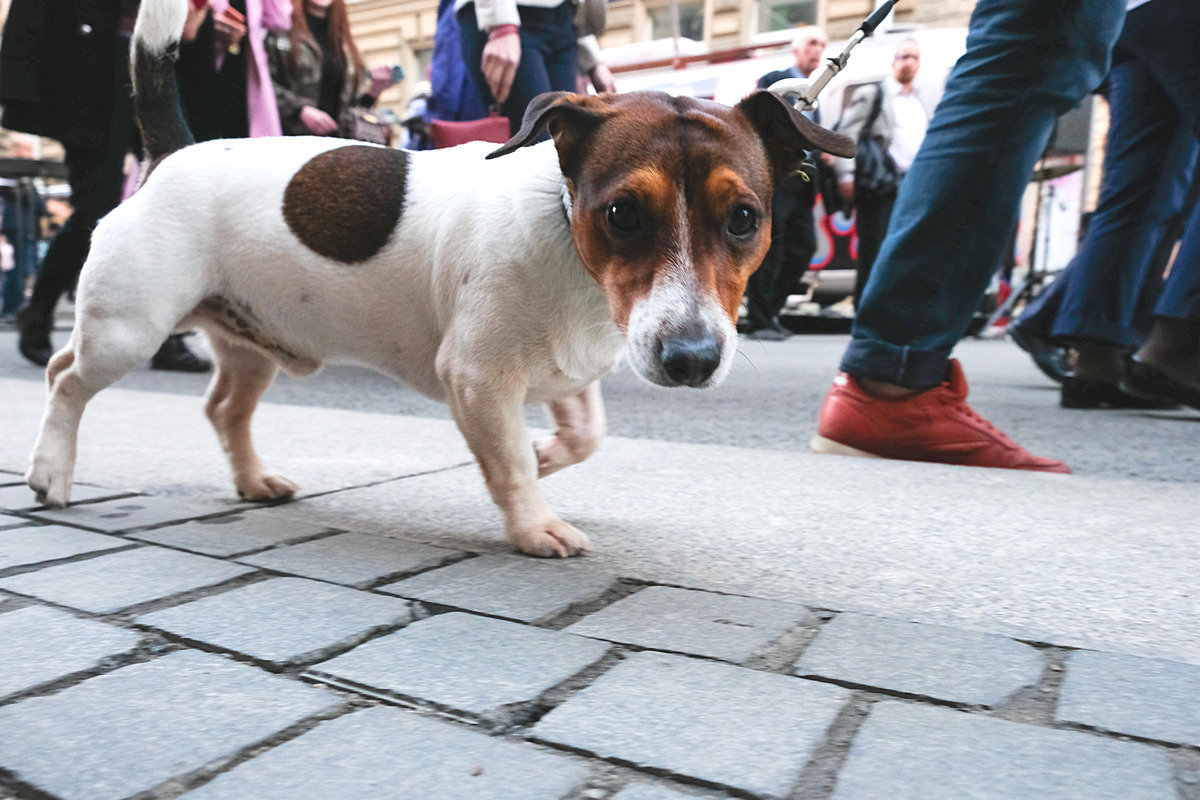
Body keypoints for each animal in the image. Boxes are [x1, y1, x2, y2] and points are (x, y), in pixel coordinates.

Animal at [28, 0, 854, 556]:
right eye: (623, 213)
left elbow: (582, 436)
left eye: (743, 219)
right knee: (66, 380)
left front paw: (547, 458)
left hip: (251, 341)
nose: (691, 360)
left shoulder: (564, 369)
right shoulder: (479, 377)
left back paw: (253, 480)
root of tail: (173, 153)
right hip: (127, 328)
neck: (570, 250)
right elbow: (510, 462)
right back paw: (50, 471)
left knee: (225, 409)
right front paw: (534, 521)